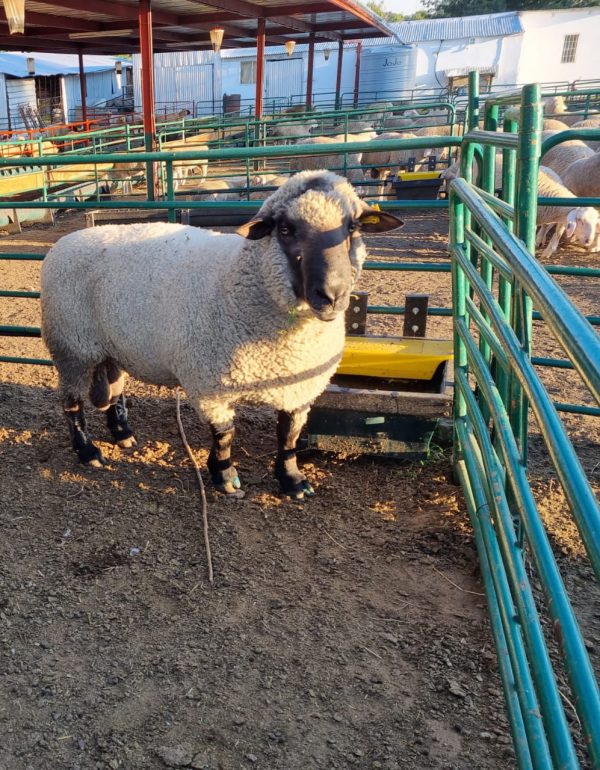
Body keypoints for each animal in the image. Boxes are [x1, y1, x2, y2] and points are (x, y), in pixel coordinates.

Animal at [41, 170, 404, 498]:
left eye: (352, 228)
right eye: (285, 229)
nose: (332, 295)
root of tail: (66, 241)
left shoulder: (298, 387)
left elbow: (287, 436)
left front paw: (292, 481)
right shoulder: (209, 386)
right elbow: (225, 434)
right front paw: (225, 477)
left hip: (111, 347)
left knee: (114, 393)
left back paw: (122, 434)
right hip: (72, 347)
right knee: (72, 403)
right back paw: (87, 451)